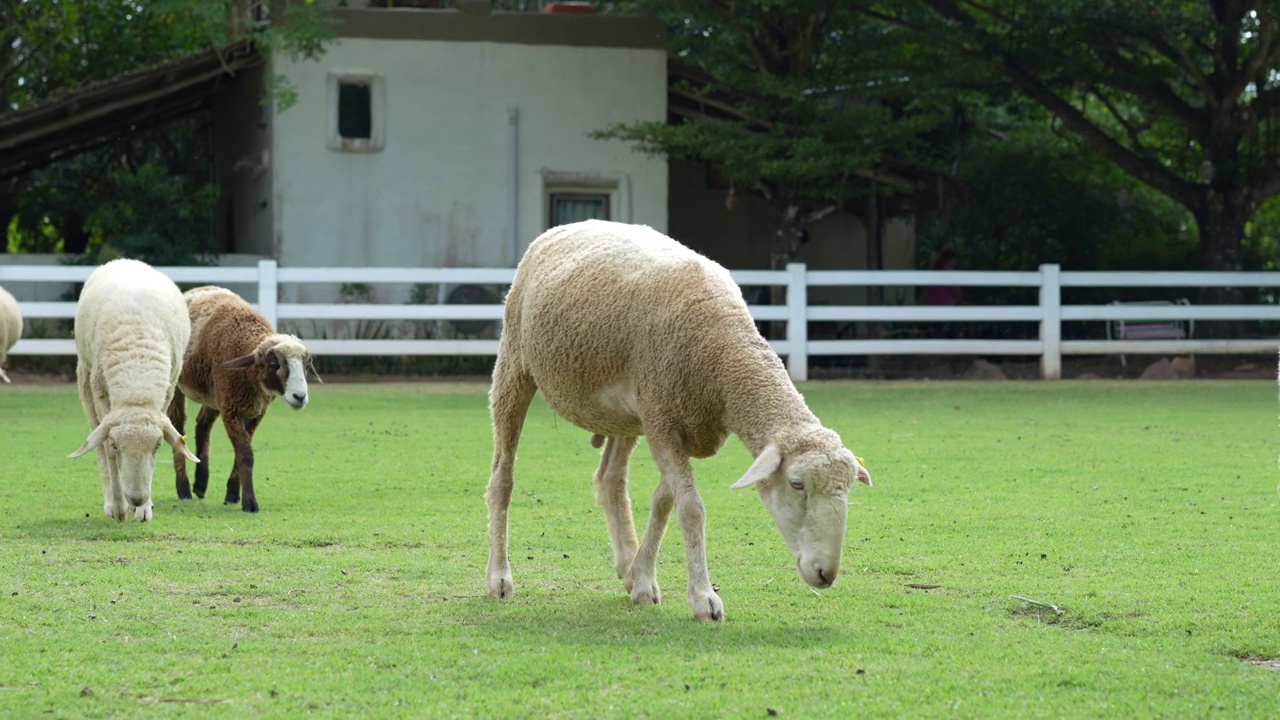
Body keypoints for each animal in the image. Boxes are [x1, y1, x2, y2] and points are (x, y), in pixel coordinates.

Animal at [69, 260, 198, 517]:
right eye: (117, 445)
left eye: (158, 445)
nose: (137, 498)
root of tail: (126, 260)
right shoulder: (100, 392)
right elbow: (106, 447)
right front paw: (119, 507)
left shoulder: (166, 395)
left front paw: (144, 510)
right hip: (86, 380)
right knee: (97, 442)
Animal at [486, 219, 870, 617]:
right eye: (796, 484)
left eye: (848, 488)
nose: (826, 573)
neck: (722, 356)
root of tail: (565, 227)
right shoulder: (662, 422)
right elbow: (691, 508)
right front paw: (703, 596)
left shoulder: (671, 421)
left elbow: (663, 502)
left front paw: (642, 580)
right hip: (514, 365)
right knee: (503, 477)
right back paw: (499, 577)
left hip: (627, 414)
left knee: (610, 480)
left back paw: (626, 563)